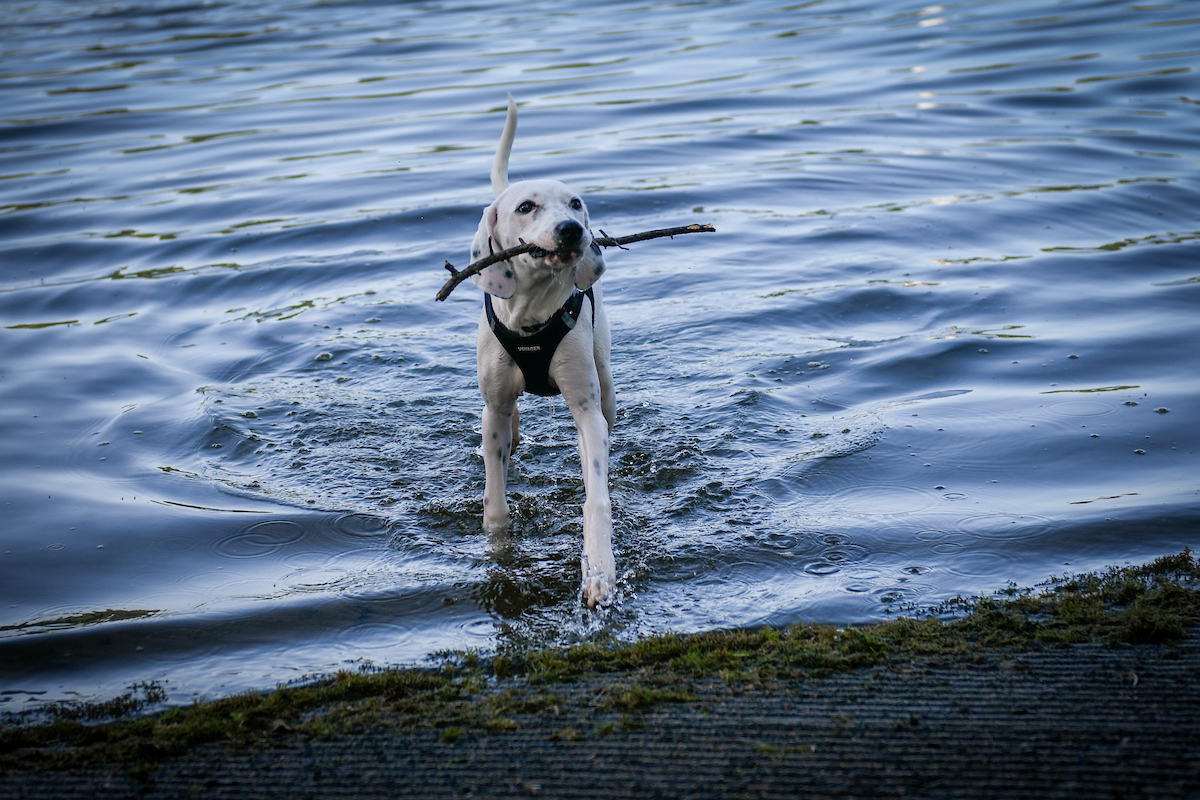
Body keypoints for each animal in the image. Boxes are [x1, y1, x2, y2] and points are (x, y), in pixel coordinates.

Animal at [468, 97, 619, 609]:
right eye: (526, 207)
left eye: (575, 203)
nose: (573, 230)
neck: (532, 317)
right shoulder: (493, 405)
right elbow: (495, 499)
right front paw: (498, 546)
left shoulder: (588, 409)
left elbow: (596, 494)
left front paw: (599, 572)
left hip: (605, 382)